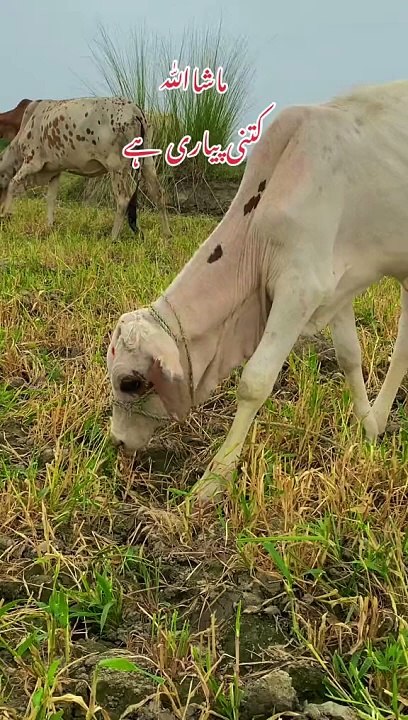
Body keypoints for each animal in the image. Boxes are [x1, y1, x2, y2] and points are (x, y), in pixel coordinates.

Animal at [0, 97, 171, 240]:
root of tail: (135, 110)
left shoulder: (32, 162)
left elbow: (13, 183)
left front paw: (5, 215)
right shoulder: (55, 170)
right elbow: (51, 198)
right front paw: (49, 225)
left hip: (117, 167)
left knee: (123, 199)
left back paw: (113, 237)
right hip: (147, 162)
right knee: (158, 193)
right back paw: (167, 234)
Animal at [106, 79, 408, 502]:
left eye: (130, 382)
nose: (116, 440)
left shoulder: (300, 288)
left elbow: (255, 382)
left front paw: (213, 480)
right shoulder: (336, 288)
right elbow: (349, 355)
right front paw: (368, 427)